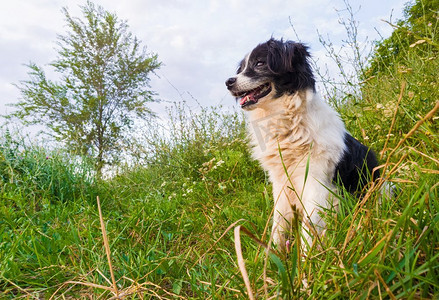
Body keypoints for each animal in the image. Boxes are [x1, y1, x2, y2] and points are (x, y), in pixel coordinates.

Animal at [225, 38, 380, 248]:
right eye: (240, 69)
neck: (289, 123)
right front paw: (274, 254)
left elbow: (310, 227)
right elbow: (278, 225)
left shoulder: (315, 183)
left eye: (260, 63)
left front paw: (308, 256)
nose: (228, 82)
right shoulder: (280, 185)